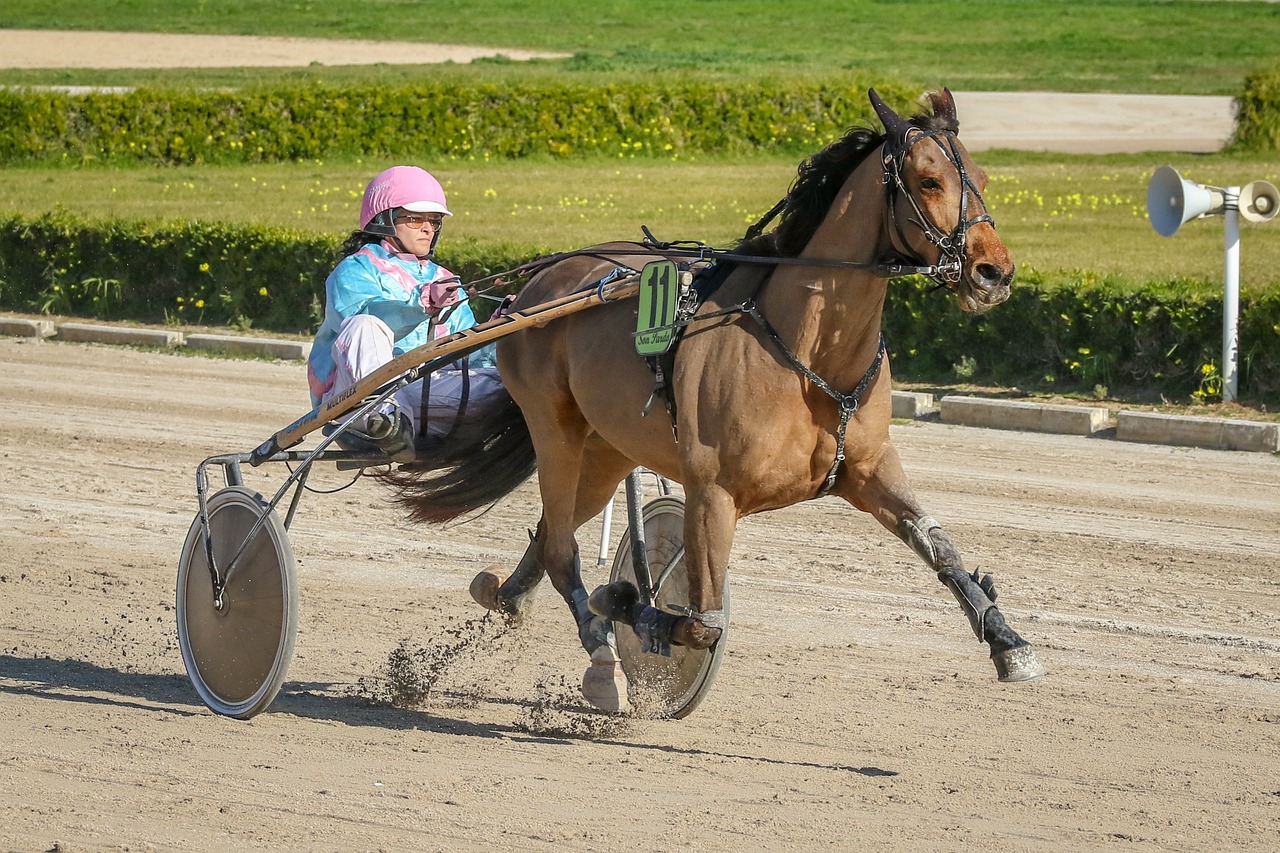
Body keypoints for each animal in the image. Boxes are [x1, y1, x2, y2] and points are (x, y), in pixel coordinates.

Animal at [394, 87, 1044, 712]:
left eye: (982, 178)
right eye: (929, 180)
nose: (994, 273)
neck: (811, 354)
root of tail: (531, 290)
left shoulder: (867, 468)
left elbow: (940, 545)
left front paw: (1009, 642)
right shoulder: (713, 489)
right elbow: (700, 622)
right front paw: (632, 607)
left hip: (607, 449)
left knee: (548, 537)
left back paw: (507, 596)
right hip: (555, 429)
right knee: (560, 550)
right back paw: (603, 660)